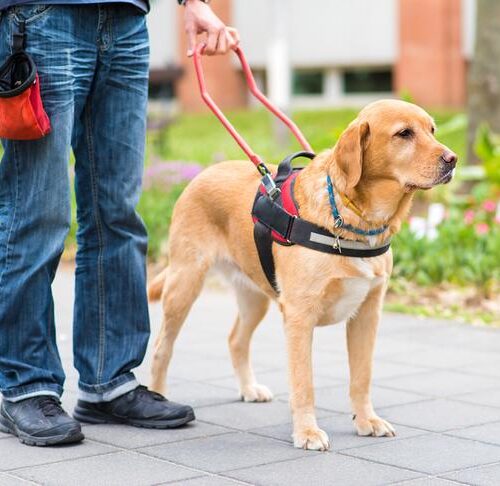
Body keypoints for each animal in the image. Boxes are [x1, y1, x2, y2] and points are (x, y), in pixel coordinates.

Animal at [146, 99, 458, 452]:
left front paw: (367, 420)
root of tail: (204, 172)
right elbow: (303, 382)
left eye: (432, 130)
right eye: (404, 133)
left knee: (236, 339)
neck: (357, 219)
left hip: (255, 296)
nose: (453, 159)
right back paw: (159, 397)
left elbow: (362, 377)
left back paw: (249, 388)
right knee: (162, 347)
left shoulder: (367, 314)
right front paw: (307, 431)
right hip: (184, 284)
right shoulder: (299, 316)